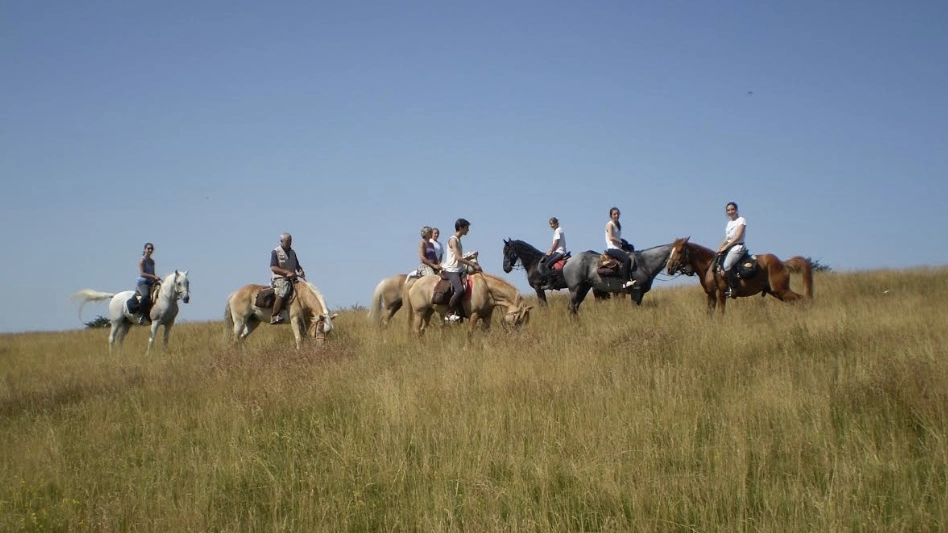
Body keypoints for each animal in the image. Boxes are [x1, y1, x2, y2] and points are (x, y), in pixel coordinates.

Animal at [668, 235, 816, 314]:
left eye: (680, 251)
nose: (669, 268)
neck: (709, 266)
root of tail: (782, 263)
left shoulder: (721, 293)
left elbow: (720, 314)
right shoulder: (711, 296)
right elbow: (709, 314)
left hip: (782, 290)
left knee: (802, 299)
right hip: (777, 292)